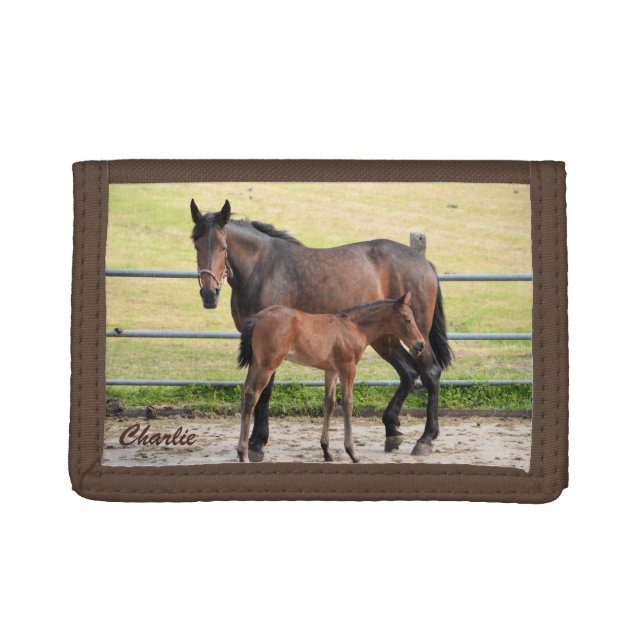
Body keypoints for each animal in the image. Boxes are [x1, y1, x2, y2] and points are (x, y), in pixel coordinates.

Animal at [236, 293, 426, 463]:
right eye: (407, 319)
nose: (421, 344)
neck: (353, 327)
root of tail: (258, 317)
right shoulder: (348, 368)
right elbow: (348, 403)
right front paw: (352, 453)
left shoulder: (331, 371)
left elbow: (330, 403)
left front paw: (327, 452)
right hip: (267, 366)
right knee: (252, 395)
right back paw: (244, 454)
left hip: (256, 364)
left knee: (244, 393)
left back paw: (240, 451)